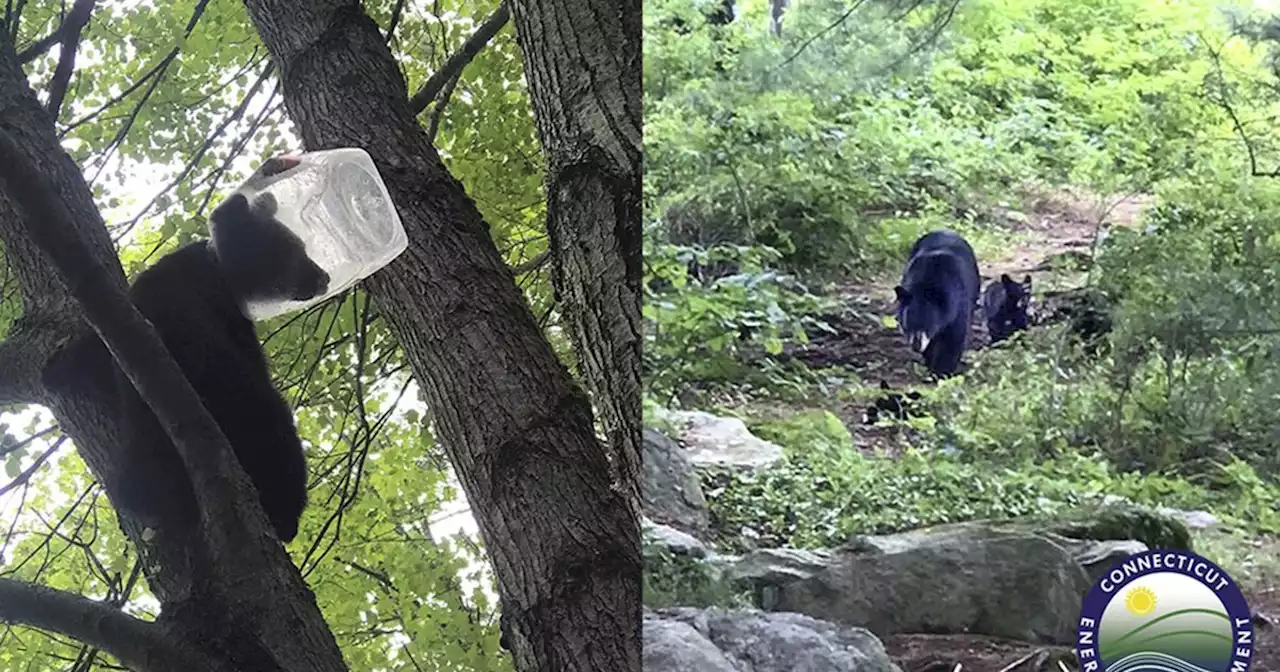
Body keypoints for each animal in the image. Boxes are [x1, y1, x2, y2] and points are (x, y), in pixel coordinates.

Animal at [45, 186, 327, 540]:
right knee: (274, 429)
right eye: (295, 249)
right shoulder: (226, 317)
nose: (323, 276)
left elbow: (89, 353)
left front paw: (61, 367)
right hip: (237, 398)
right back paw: (285, 513)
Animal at [896, 229, 972, 376]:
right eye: (907, 325)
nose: (916, 346)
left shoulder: (958, 304)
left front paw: (942, 372)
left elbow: (953, 339)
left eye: (927, 325)